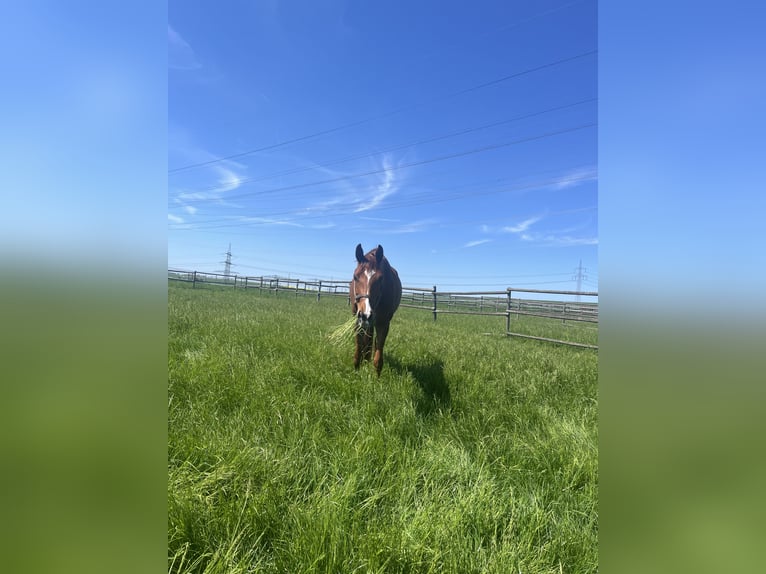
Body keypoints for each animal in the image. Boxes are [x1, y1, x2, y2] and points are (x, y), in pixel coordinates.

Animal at [350, 243, 402, 375]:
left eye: (381, 278)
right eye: (355, 276)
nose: (366, 315)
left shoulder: (384, 323)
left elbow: (378, 356)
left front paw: (376, 378)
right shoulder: (357, 320)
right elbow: (358, 349)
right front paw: (356, 369)